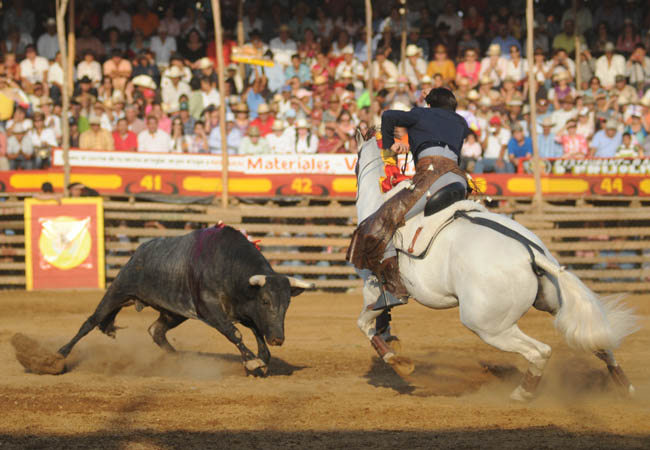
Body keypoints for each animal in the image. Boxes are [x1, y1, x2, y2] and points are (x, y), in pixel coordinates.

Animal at [57, 225, 312, 376]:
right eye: (266, 301)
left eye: (287, 304)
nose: (278, 339)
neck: (228, 265)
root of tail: (138, 252)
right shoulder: (210, 310)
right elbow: (235, 334)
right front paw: (252, 362)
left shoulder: (244, 311)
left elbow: (257, 332)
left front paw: (263, 359)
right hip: (118, 291)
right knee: (90, 322)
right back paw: (59, 355)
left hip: (173, 312)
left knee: (156, 331)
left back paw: (176, 360)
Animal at [352, 134, 636, 400]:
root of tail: (532, 253)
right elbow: (379, 322)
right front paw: (392, 344)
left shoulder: (374, 287)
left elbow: (365, 324)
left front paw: (397, 361)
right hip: (553, 304)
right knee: (600, 344)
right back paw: (626, 387)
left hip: (489, 326)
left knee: (540, 352)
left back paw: (522, 393)